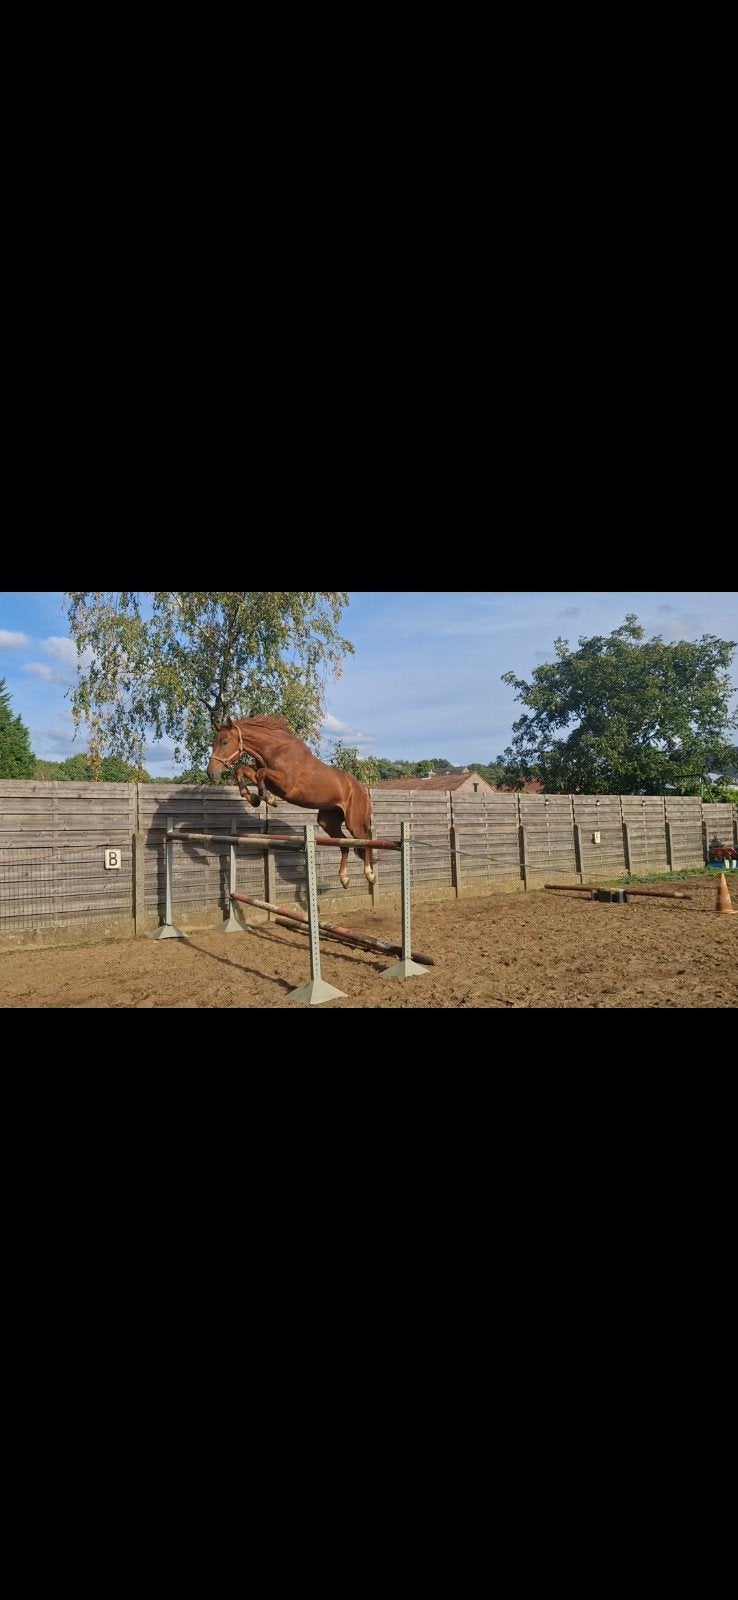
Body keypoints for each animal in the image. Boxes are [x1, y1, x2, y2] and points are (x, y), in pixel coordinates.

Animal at [206, 715, 375, 890]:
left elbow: (260, 773)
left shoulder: (285, 783)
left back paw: (370, 875)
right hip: (328, 822)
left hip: (353, 823)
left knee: (365, 841)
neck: (276, 750)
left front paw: (267, 798)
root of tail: (362, 790)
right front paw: (254, 798)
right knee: (345, 844)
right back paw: (344, 879)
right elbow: (242, 769)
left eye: (225, 742)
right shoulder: (271, 781)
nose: (211, 773)